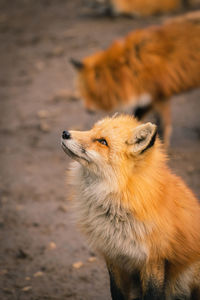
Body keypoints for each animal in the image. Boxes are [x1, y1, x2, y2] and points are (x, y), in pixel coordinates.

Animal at [61, 115, 200, 300]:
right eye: (91, 130)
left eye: (103, 142)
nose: (65, 133)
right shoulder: (113, 256)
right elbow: (117, 293)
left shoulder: (153, 259)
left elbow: (153, 294)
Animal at [70, 12, 200, 146]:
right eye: (83, 93)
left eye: (91, 93)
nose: (87, 110)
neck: (133, 65)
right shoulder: (153, 97)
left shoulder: (158, 95)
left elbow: (159, 122)